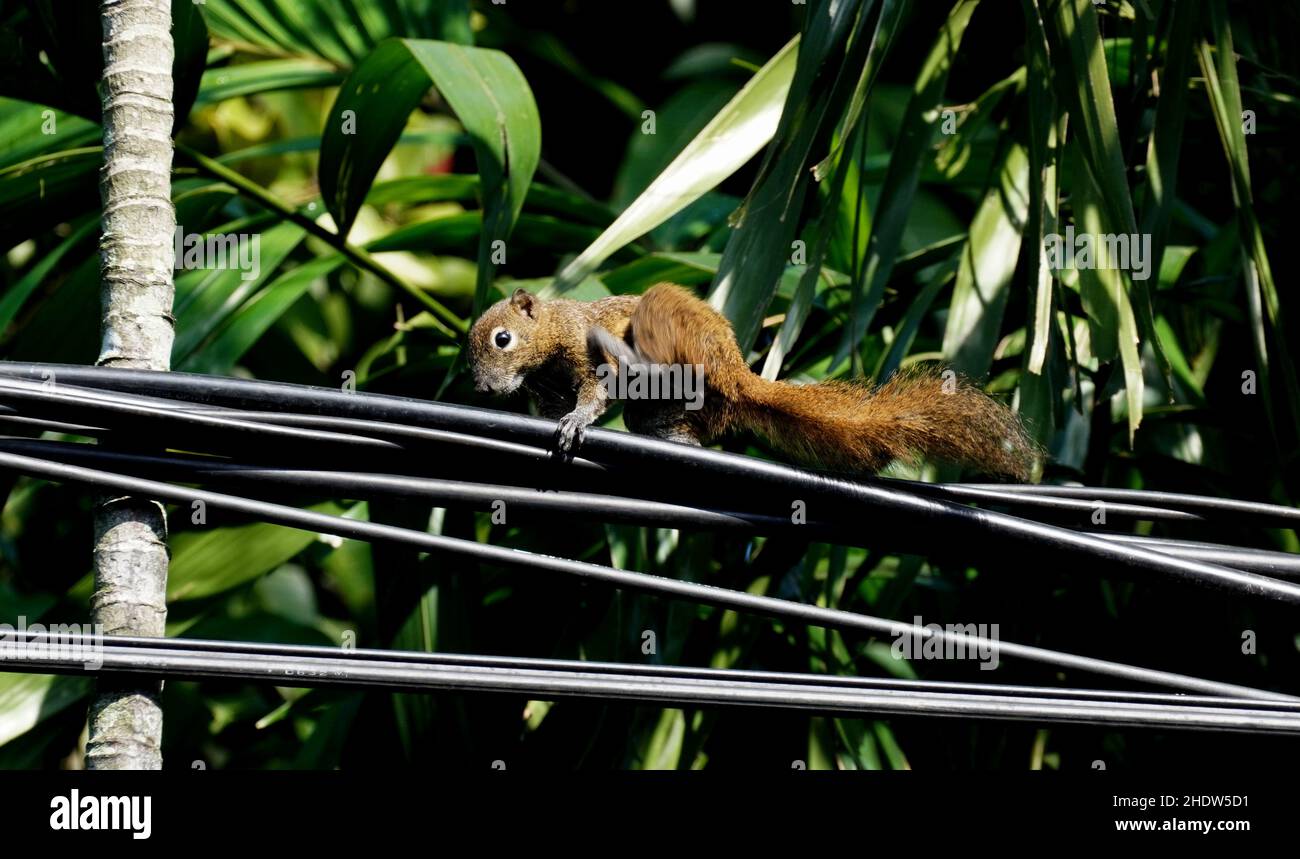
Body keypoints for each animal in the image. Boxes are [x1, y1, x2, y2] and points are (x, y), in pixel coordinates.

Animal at [465, 284, 1034, 478]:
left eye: (502, 339)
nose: (485, 390)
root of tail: (739, 375)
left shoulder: (584, 353)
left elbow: (592, 392)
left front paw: (577, 420)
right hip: (667, 407)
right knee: (667, 427)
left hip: (674, 323)